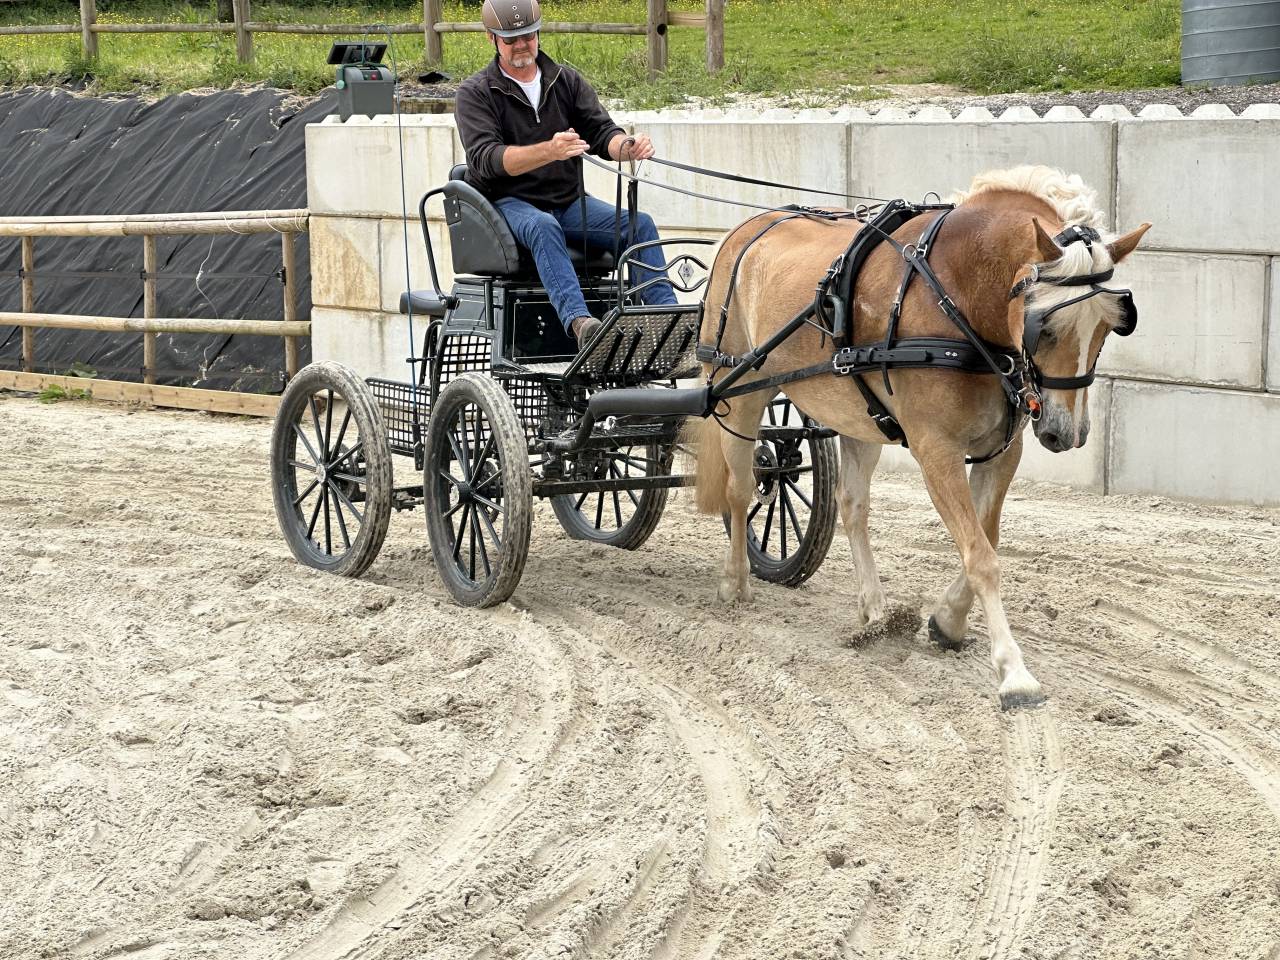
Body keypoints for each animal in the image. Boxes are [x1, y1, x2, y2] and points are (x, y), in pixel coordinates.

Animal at [688, 166, 1151, 711]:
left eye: (1108, 327)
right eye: (1049, 327)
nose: (1066, 433)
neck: (958, 296)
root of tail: (741, 232)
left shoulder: (1002, 451)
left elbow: (984, 540)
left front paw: (946, 621)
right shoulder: (937, 451)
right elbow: (981, 555)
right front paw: (1014, 673)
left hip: (858, 415)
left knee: (852, 506)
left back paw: (873, 611)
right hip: (738, 390)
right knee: (741, 490)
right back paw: (735, 582)